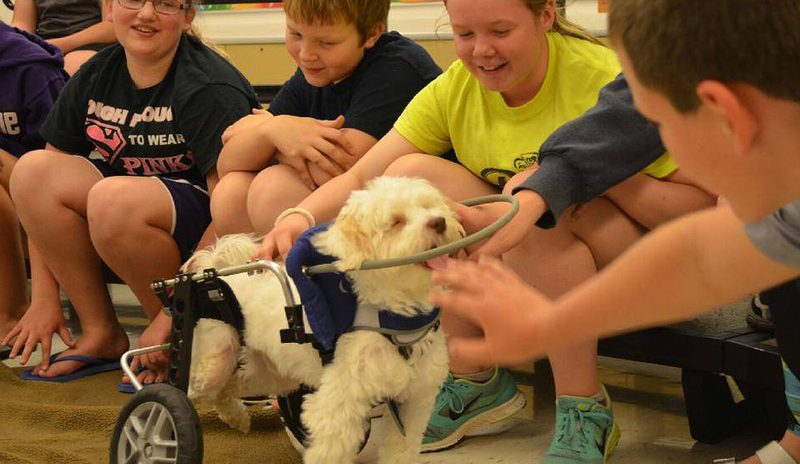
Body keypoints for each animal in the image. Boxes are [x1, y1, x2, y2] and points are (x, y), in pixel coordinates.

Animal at [185, 177, 466, 464]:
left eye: (428, 206)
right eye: (396, 221)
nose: (439, 221)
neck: (394, 322)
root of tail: (215, 277)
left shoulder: (414, 403)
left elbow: (400, 451)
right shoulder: (338, 408)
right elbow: (330, 451)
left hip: (271, 375)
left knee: (227, 389)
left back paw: (237, 418)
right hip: (216, 360)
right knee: (196, 390)